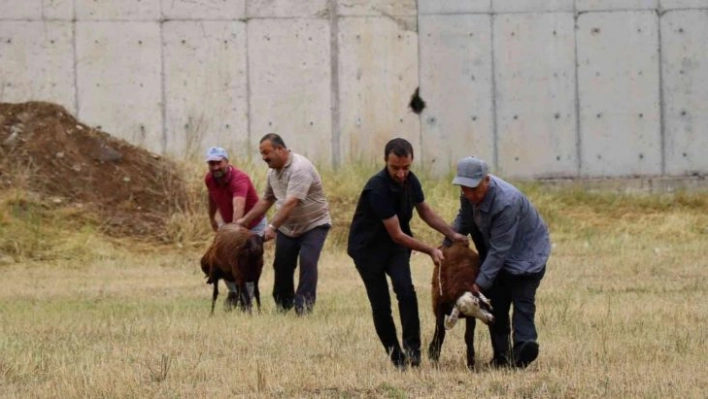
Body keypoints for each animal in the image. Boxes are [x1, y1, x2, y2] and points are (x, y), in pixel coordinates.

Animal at [428, 239, 496, 370]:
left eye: (481, 304)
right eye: (464, 309)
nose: (491, 320)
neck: (461, 284)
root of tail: (459, 243)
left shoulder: (470, 318)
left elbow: (469, 337)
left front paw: (471, 363)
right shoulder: (439, 307)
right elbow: (441, 332)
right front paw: (434, 356)